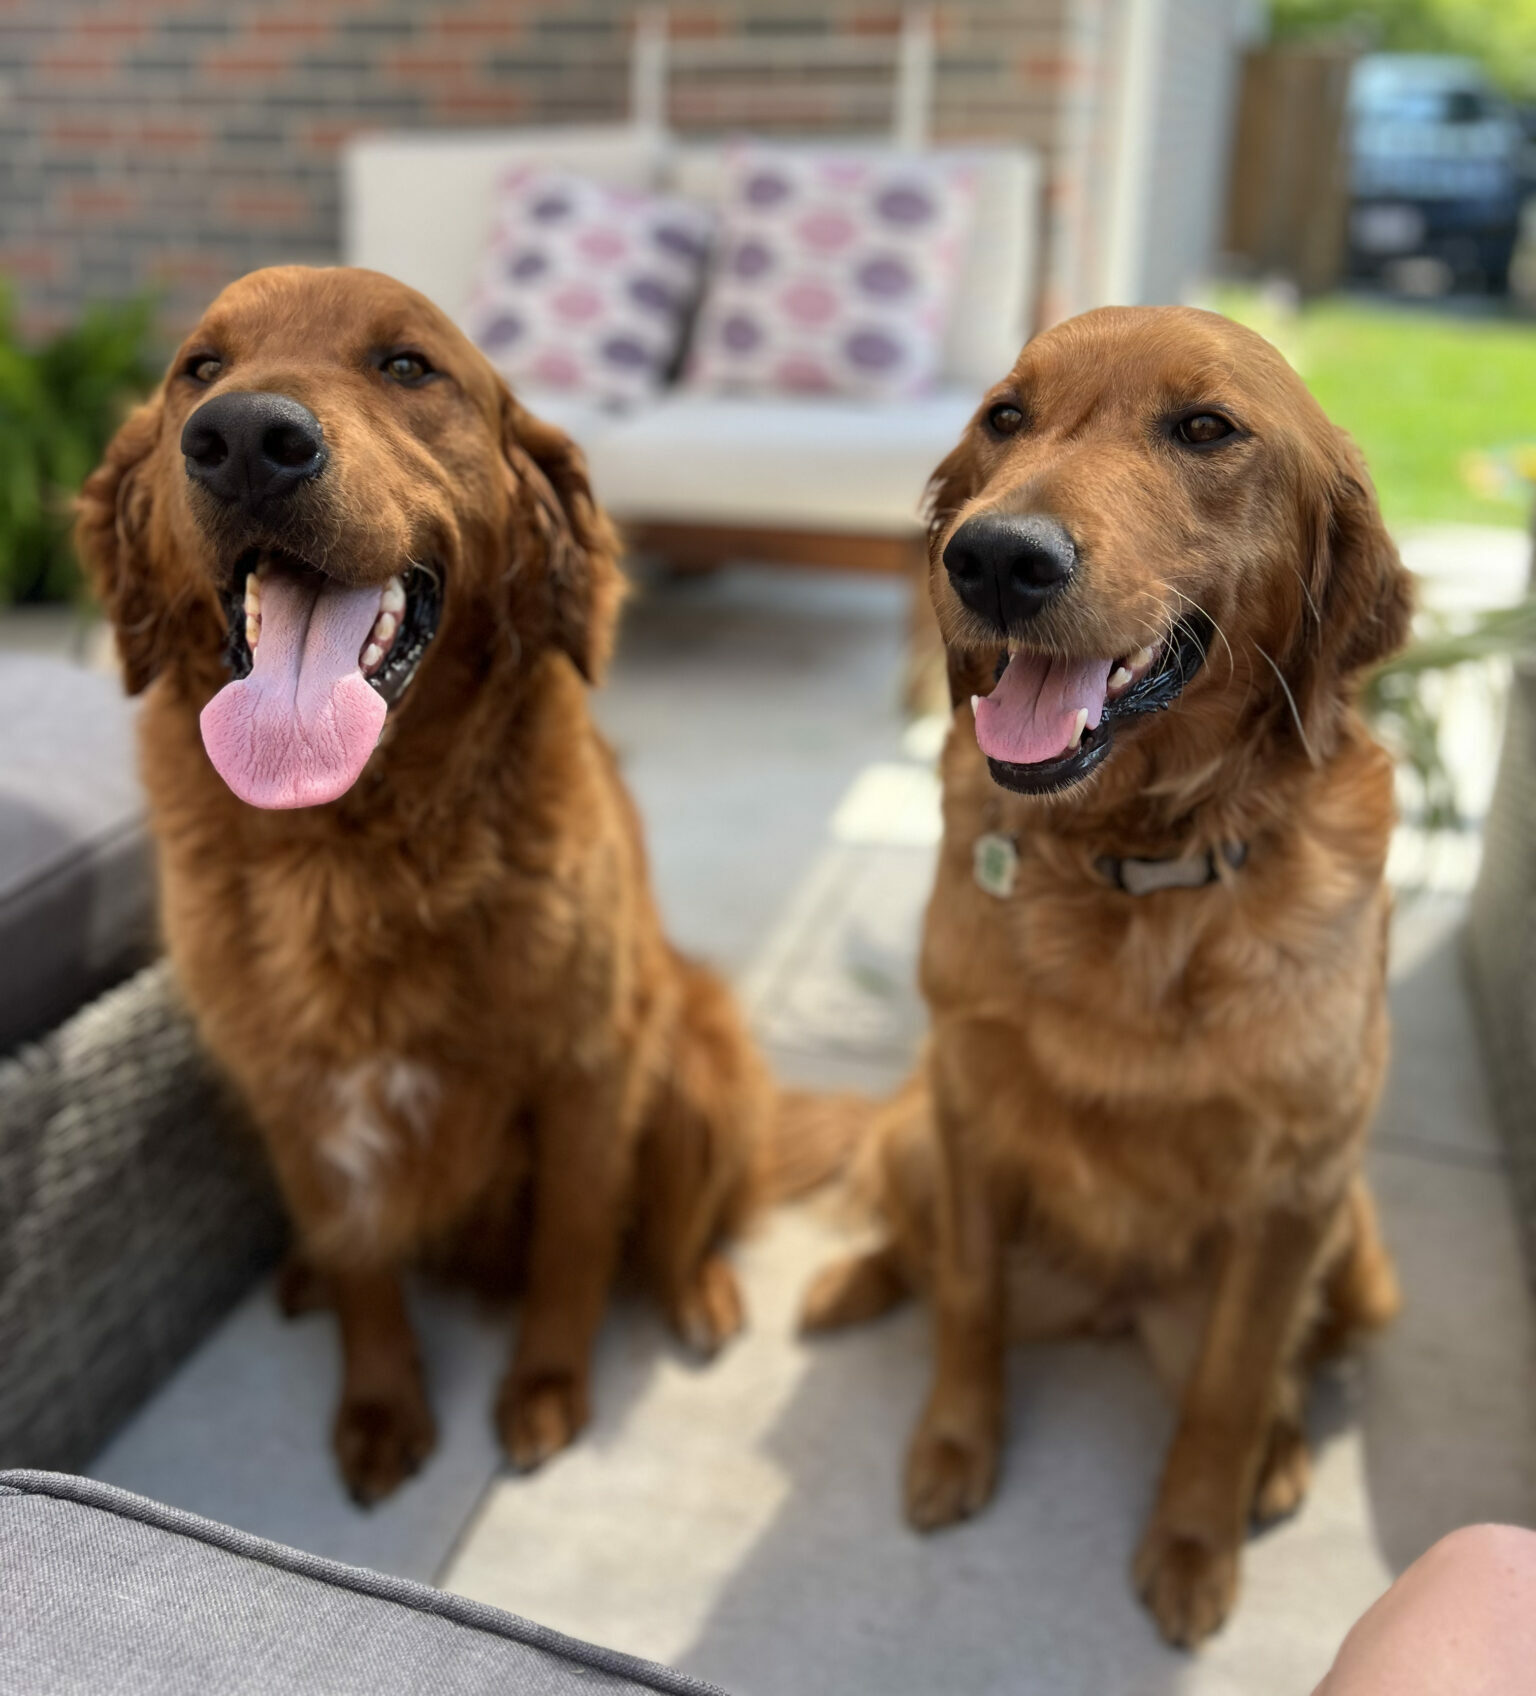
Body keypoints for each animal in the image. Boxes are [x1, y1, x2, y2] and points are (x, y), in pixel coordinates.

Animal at [77, 264, 804, 1504]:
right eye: (198, 370)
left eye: (408, 365)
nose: (245, 440)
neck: (353, 845)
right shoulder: (294, 1092)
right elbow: (363, 1264)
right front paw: (378, 1405)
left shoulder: (588, 1070)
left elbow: (574, 1243)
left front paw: (546, 1386)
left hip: (697, 1052)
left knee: (680, 1224)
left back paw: (699, 1290)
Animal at [800, 306, 1413, 1646]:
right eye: (1005, 417)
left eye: (1207, 428)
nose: (994, 559)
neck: (1133, 864)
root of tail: (1111, 1305)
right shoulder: (967, 1106)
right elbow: (966, 1294)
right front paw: (955, 1446)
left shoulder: (1299, 1181)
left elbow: (1235, 1382)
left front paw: (1194, 1541)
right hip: (918, 1131)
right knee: (912, 1242)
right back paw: (847, 1282)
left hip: (1359, 1243)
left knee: (1290, 1366)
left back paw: (1280, 1458)